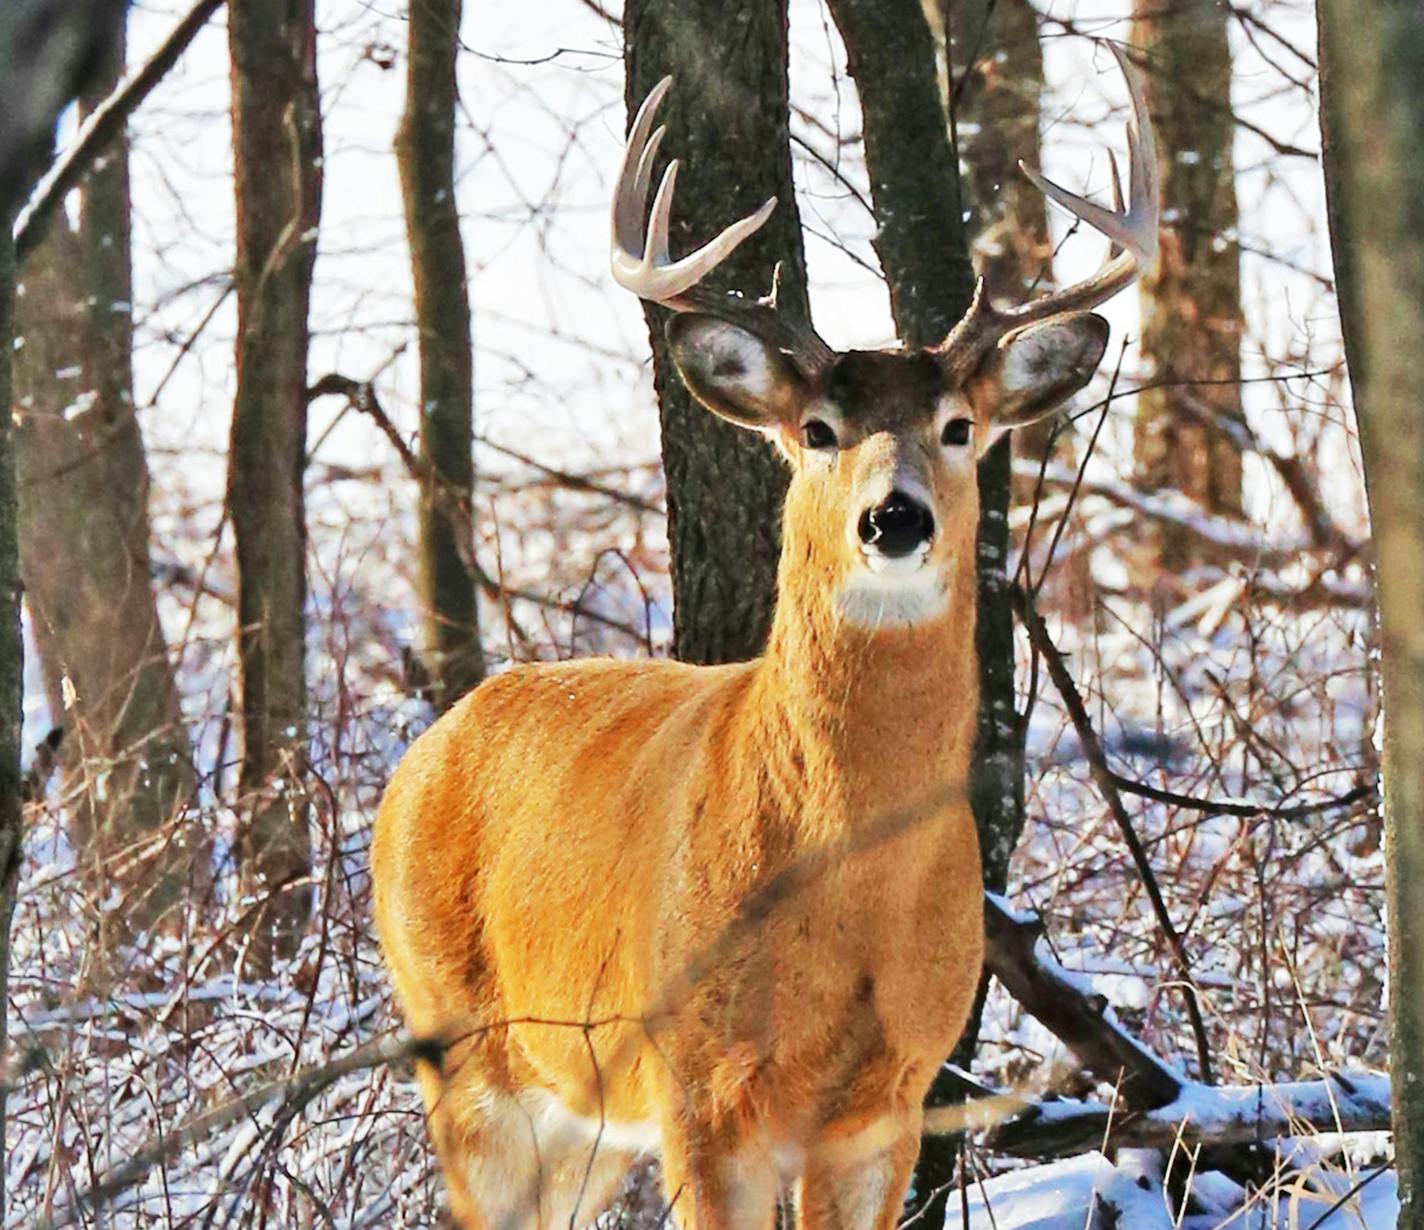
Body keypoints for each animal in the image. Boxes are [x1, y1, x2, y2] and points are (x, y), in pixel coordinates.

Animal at [375, 43, 1156, 1230]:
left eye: (958, 427)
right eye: (817, 429)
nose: (893, 518)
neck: (844, 890)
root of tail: (422, 753)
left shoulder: (891, 1099)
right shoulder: (698, 1080)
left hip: (582, 1117)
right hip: (465, 1056)